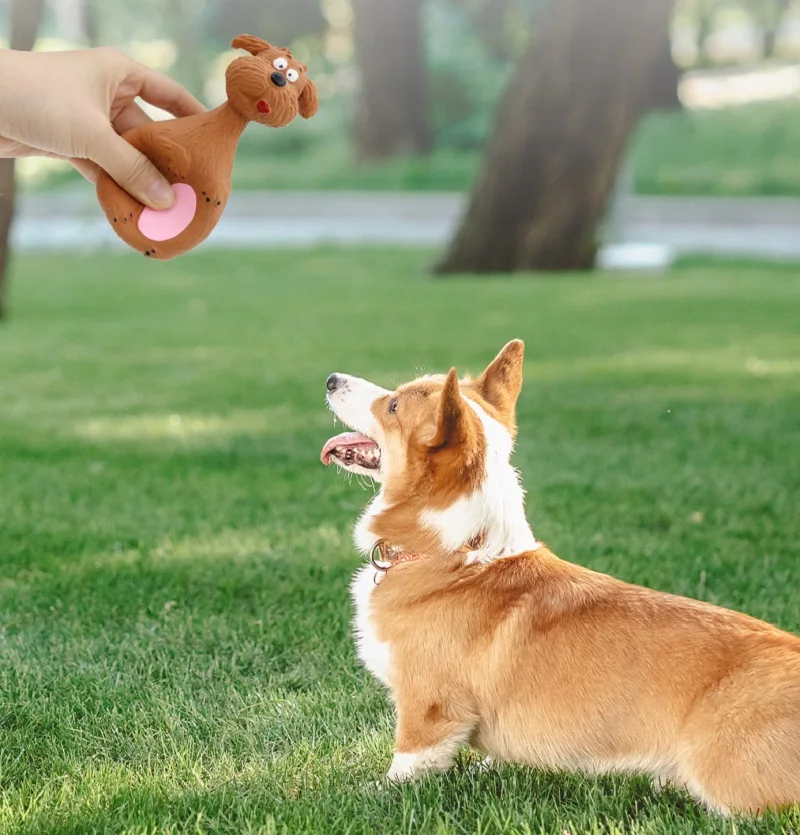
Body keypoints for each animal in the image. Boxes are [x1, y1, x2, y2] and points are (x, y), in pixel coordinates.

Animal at [320, 340, 800, 816]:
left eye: (394, 405)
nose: (330, 379)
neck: (454, 553)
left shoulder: (429, 707)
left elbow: (408, 762)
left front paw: (372, 792)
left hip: (721, 773)